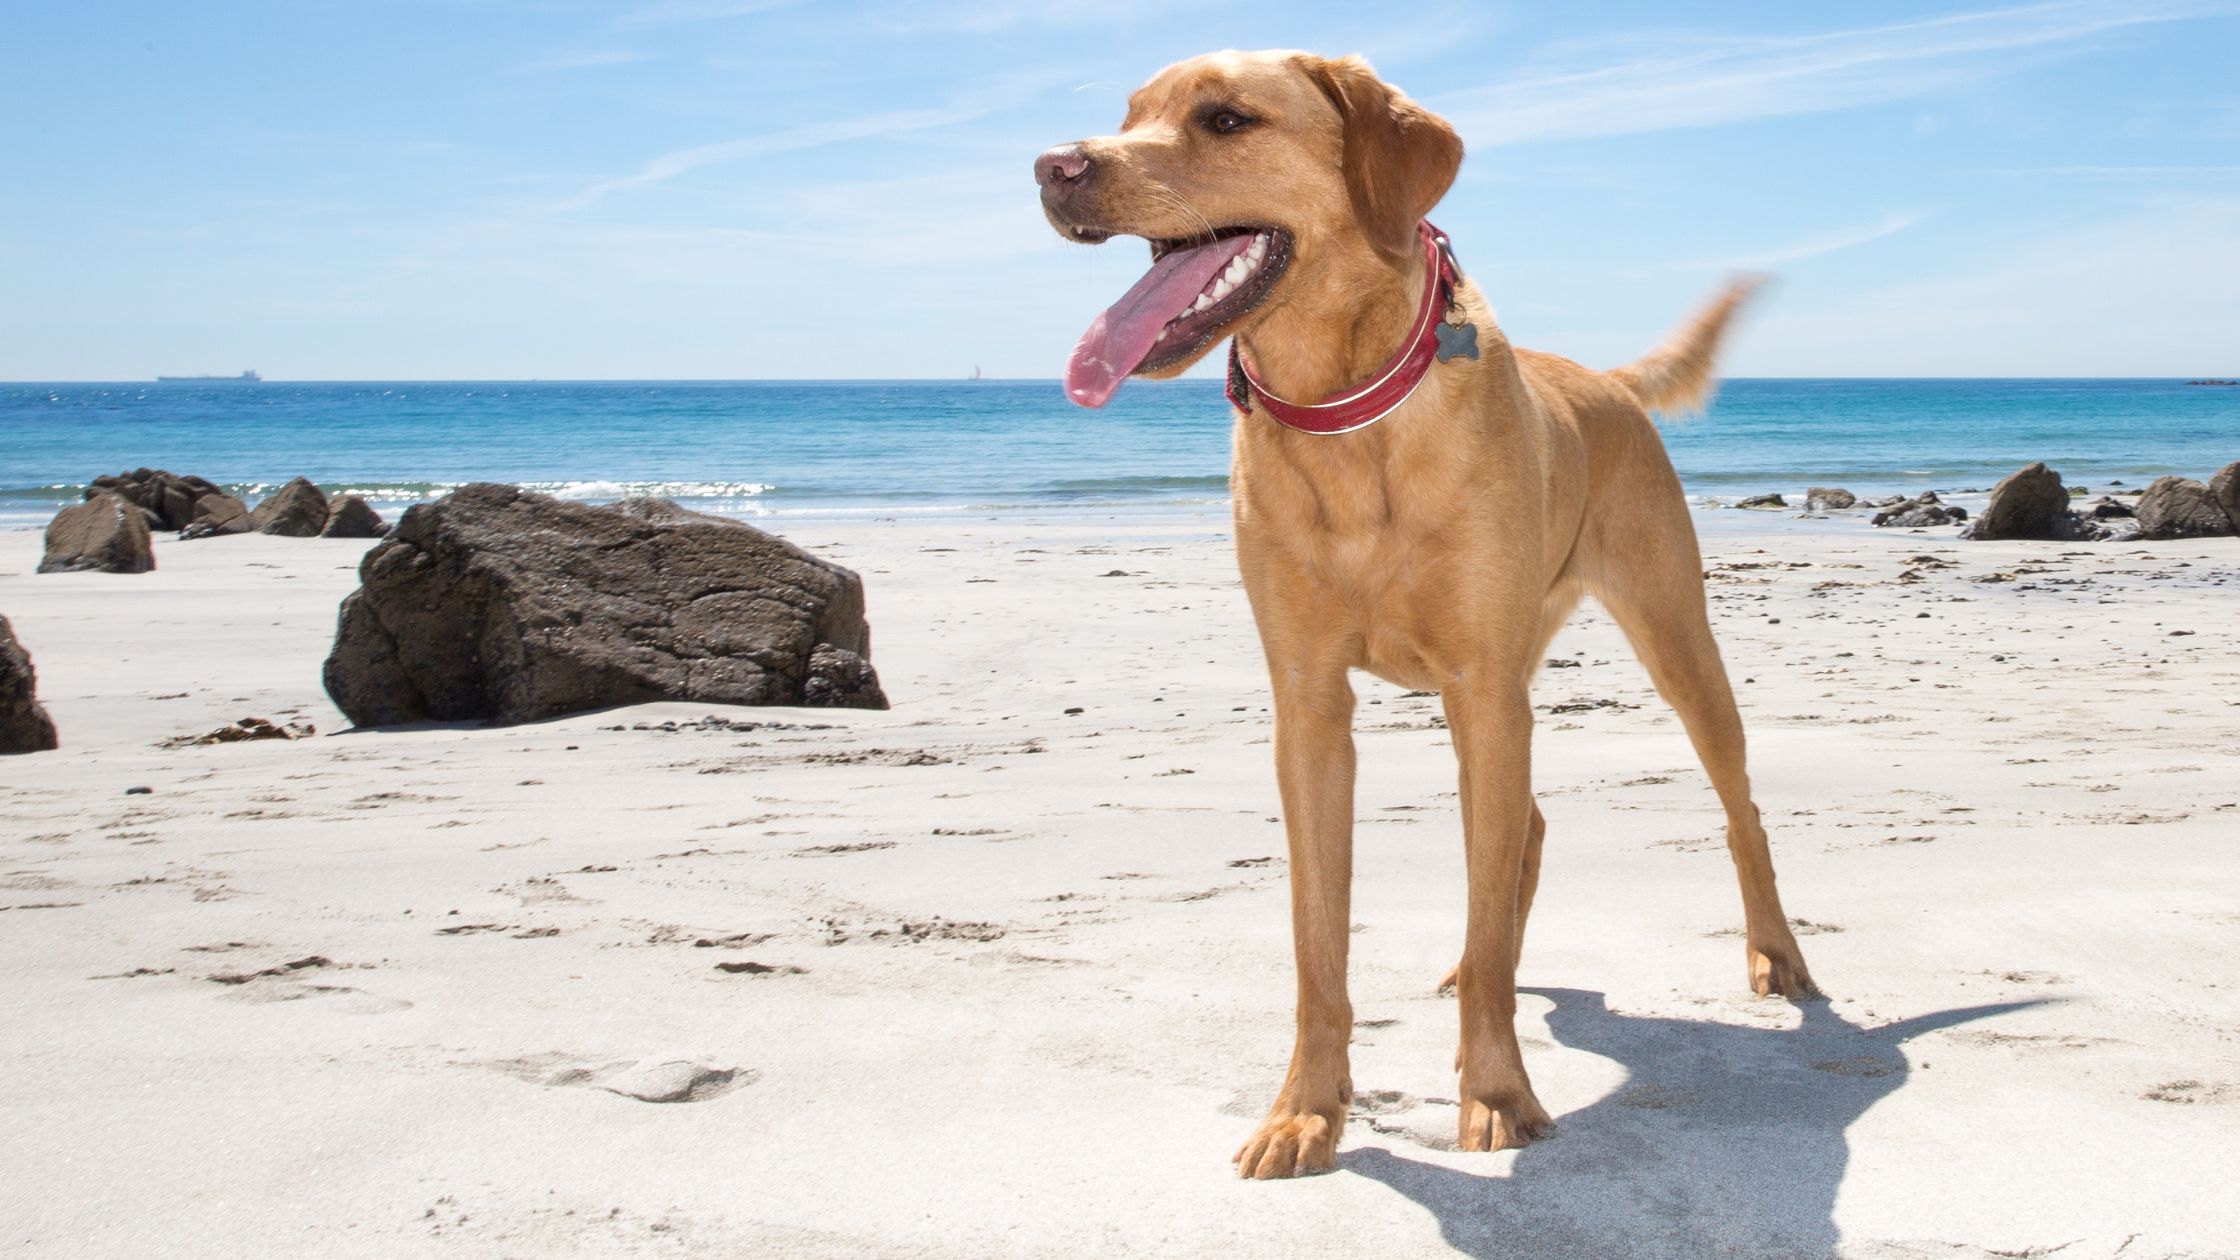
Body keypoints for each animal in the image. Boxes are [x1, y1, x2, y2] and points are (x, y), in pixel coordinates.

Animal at [1039, 49, 1827, 1174]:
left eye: (1224, 119)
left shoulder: (1481, 693)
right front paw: (1304, 1110)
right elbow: (1317, 941)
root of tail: (1607, 382)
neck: (1344, 409)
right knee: (1522, 838)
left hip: (1676, 642)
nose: (1053, 167)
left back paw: (1775, 954)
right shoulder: (1311, 707)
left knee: (1738, 811)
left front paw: (1495, 1092)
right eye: (1129, 113)